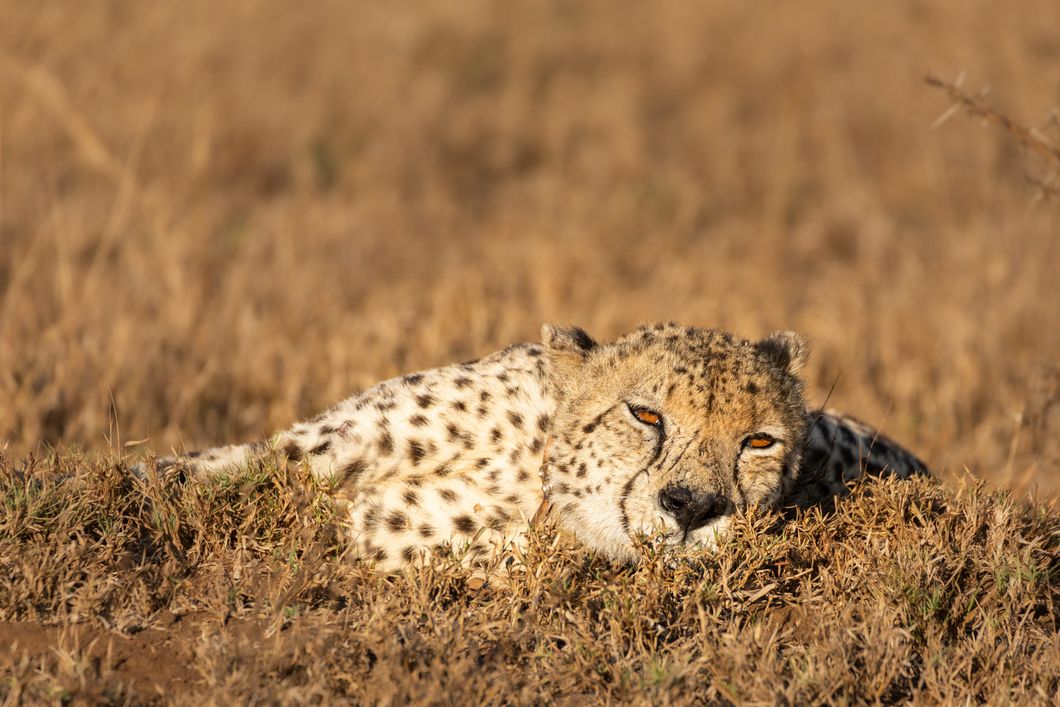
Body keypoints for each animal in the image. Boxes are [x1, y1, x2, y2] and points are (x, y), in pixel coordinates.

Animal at [143, 323, 930, 571]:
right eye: (646, 414)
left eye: (758, 441)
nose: (690, 508)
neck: (530, 468)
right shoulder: (321, 446)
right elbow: (226, 466)